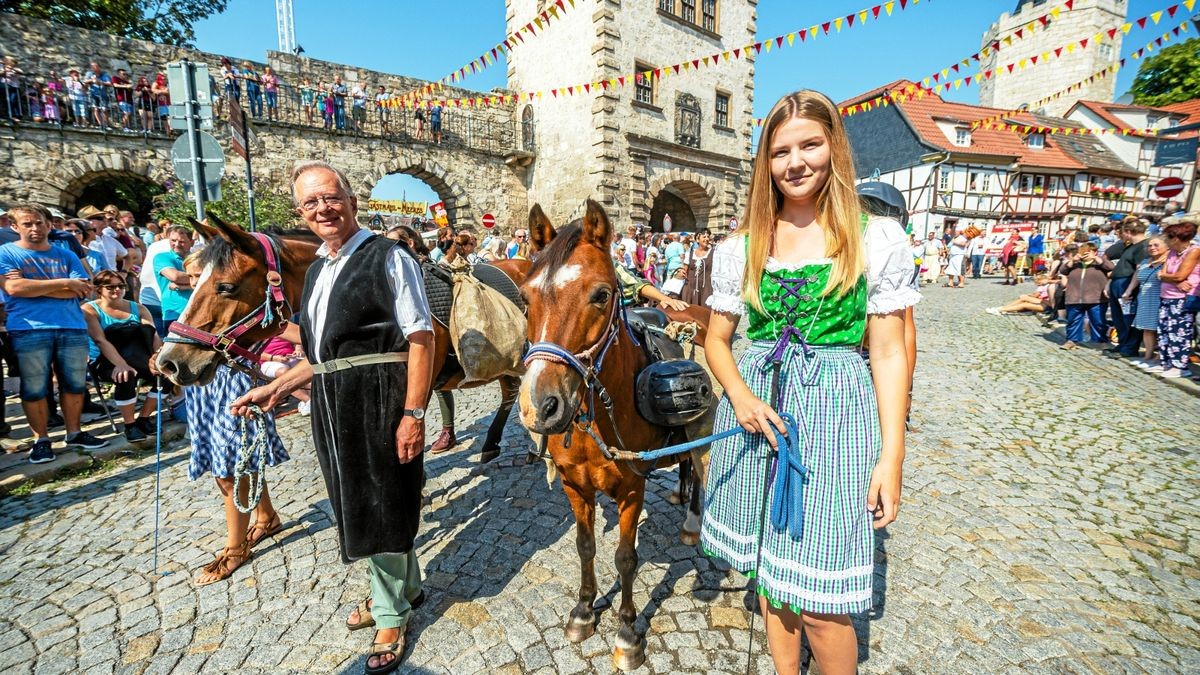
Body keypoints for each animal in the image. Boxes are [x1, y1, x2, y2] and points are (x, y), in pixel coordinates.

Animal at [516, 199, 710, 667]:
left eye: (602, 295)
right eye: (525, 299)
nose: (540, 406)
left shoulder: (631, 489)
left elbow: (625, 558)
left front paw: (626, 632)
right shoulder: (574, 486)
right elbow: (585, 547)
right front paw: (584, 610)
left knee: (696, 466)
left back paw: (692, 518)